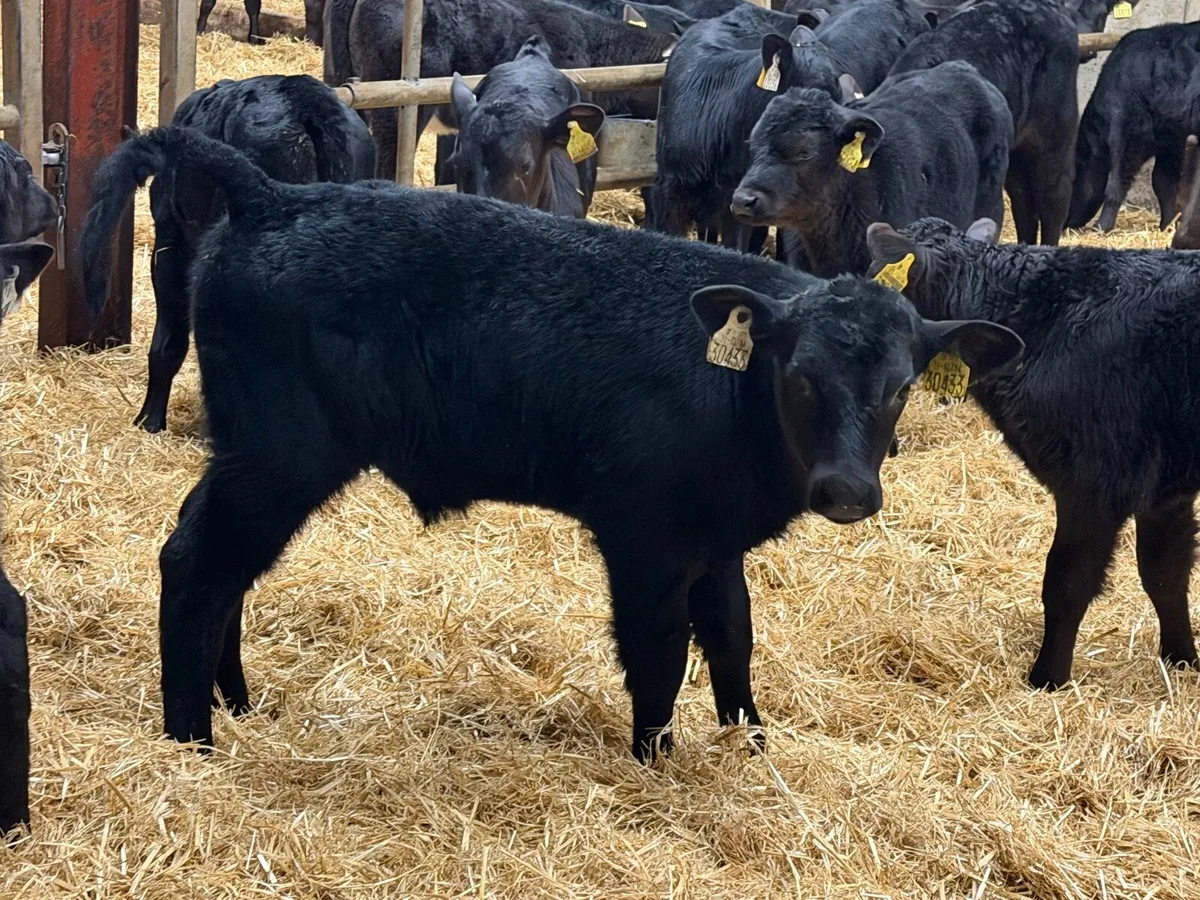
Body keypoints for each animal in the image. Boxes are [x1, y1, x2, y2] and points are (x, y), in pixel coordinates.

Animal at [79, 126, 1021, 762]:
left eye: (901, 386)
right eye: (802, 378)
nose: (848, 493)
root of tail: (274, 196)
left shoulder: (714, 542)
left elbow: (732, 637)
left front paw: (751, 743)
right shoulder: (645, 541)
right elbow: (657, 654)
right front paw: (656, 761)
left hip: (253, 458)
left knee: (226, 574)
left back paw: (234, 704)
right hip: (279, 457)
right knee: (196, 562)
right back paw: (191, 737)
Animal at [867, 215, 1200, 691]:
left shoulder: (1092, 481)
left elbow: (1066, 583)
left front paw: (1048, 677)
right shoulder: (1166, 489)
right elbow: (1165, 573)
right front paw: (1182, 660)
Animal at [1067, 22, 1200, 234]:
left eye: (1072, 181)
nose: (1064, 223)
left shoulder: (1128, 130)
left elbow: (1116, 184)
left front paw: (1101, 227)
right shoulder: (1172, 138)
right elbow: (1164, 182)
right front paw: (1166, 225)